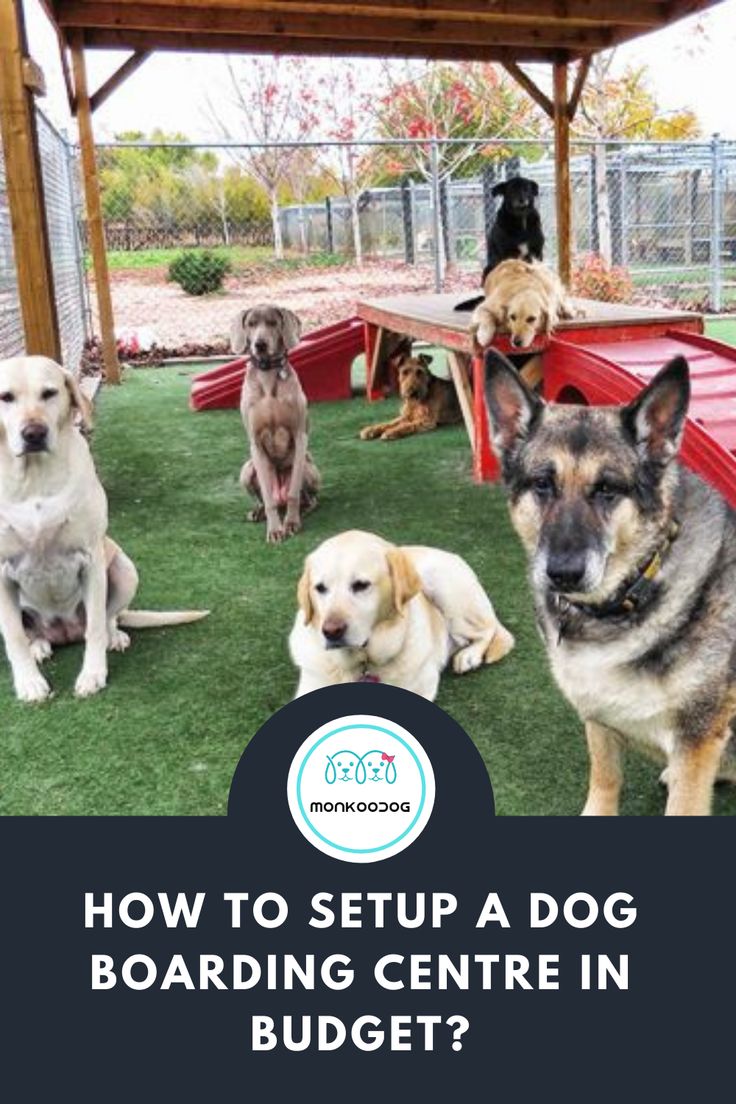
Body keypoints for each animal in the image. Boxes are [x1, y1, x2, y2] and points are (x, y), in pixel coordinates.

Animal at [0, 357, 207, 702]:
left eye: (49, 393)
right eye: (6, 397)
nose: (34, 433)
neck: (35, 479)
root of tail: (63, 633)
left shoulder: (92, 561)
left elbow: (95, 625)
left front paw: (93, 674)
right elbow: (14, 636)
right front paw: (29, 682)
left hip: (124, 568)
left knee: (108, 617)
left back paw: (114, 636)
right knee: (29, 631)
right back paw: (39, 645)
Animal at [291, 532, 516, 697]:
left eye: (361, 585)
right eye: (320, 588)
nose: (331, 631)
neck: (363, 663)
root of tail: (450, 554)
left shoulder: (422, 684)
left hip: (445, 588)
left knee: (487, 630)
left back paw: (470, 656)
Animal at [456, 175, 545, 311]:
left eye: (526, 188)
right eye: (512, 189)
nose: (521, 199)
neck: (521, 220)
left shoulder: (537, 253)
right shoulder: (507, 254)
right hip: (487, 271)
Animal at [483, 348, 736, 816]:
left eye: (608, 489)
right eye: (542, 484)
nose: (563, 572)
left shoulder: (696, 738)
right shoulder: (598, 717)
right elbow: (605, 778)